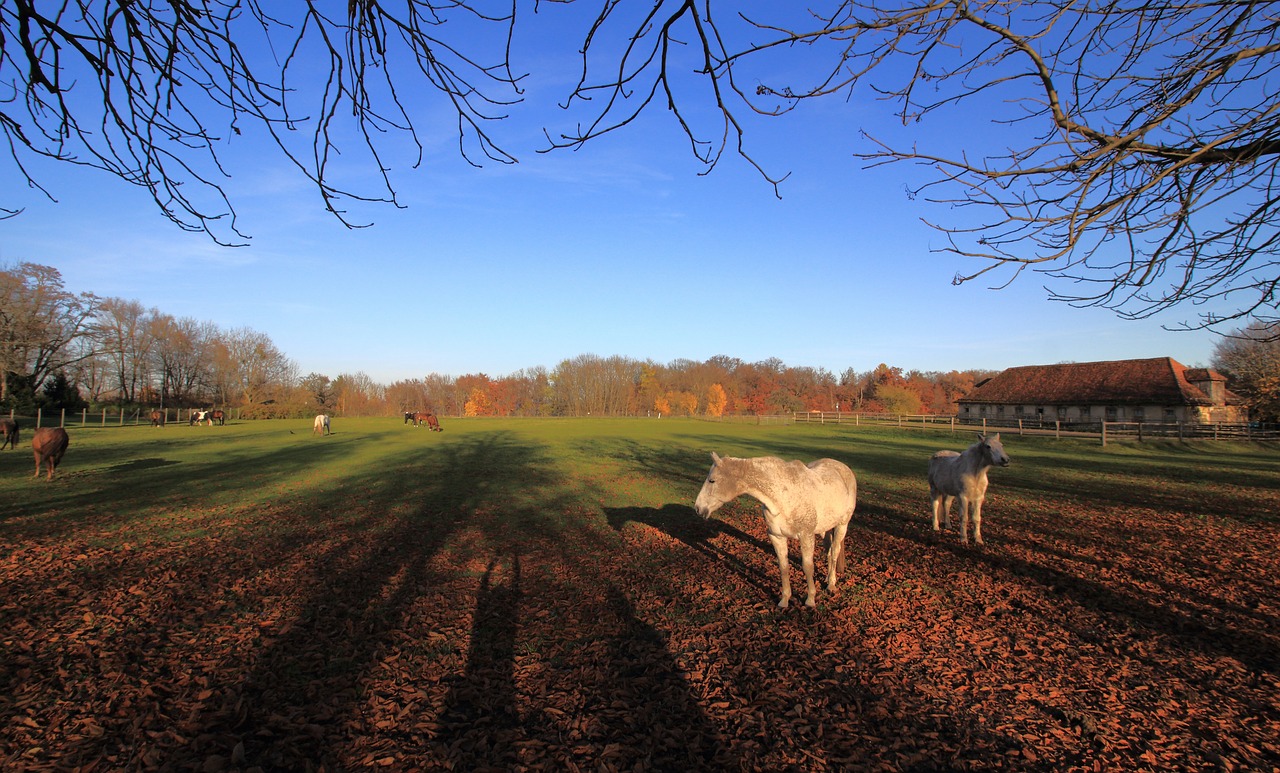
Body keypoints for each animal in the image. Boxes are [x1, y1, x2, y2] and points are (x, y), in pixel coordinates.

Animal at [696, 453, 855, 609]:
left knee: (834, 552)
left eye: (712, 480)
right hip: (824, 528)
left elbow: (808, 566)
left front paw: (810, 600)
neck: (782, 495)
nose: (698, 508)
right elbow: (783, 567)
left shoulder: (806, 536)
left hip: (842, 525)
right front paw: (784, 600)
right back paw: (828, 578)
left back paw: (831, 584)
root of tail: (842, 467)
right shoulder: (777, 537)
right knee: (829, 551)